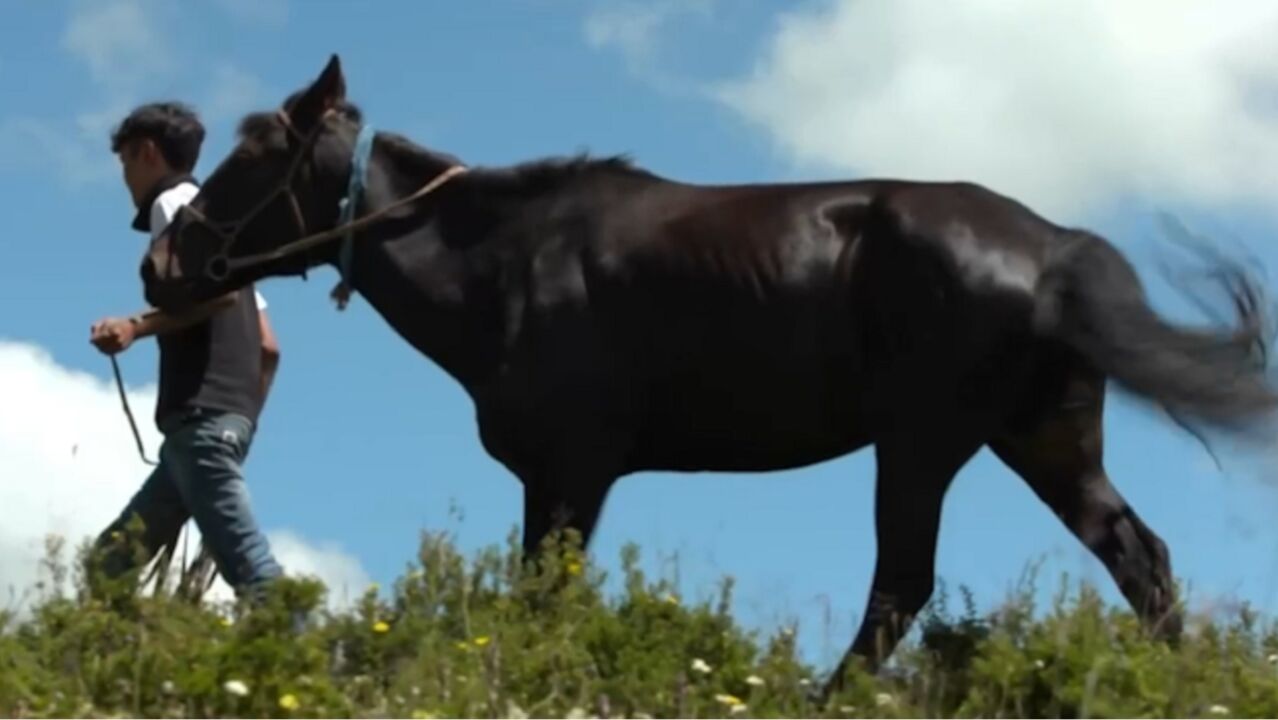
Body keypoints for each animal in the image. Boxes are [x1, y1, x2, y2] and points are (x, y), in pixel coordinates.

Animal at [139, 53, 1278, 695]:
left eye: (252, 157)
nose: (164, 261)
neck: (506, 263)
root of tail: (1052, 245)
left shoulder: (575, 465)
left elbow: (544, 598)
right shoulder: (555, 475)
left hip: (923, 440)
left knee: (901, 586)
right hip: (1042, 436)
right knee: (1139, 557)